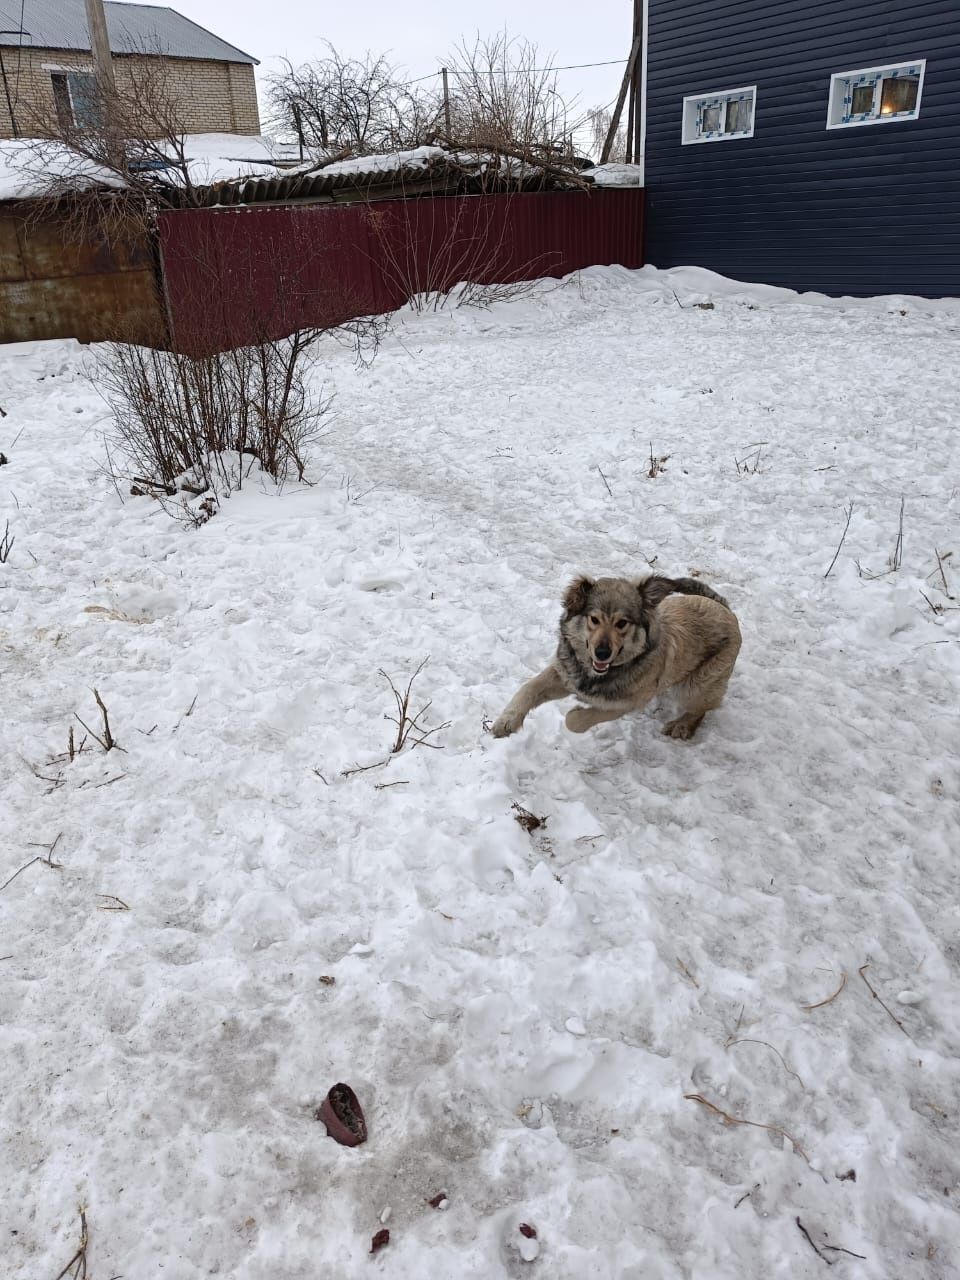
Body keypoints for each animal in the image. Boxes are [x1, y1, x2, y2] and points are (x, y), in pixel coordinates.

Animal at [491, 578, 742, 747]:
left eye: (622, 623)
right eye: (594, 619)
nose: (602, 653)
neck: (597, 675)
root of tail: (725, 608)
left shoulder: (625, 703)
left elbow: (578, 720)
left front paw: (577, 709)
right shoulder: (565, 674)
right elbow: (528, 688)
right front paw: (507, 721)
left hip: (696, 685)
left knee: (703, 708)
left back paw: (681, 725)